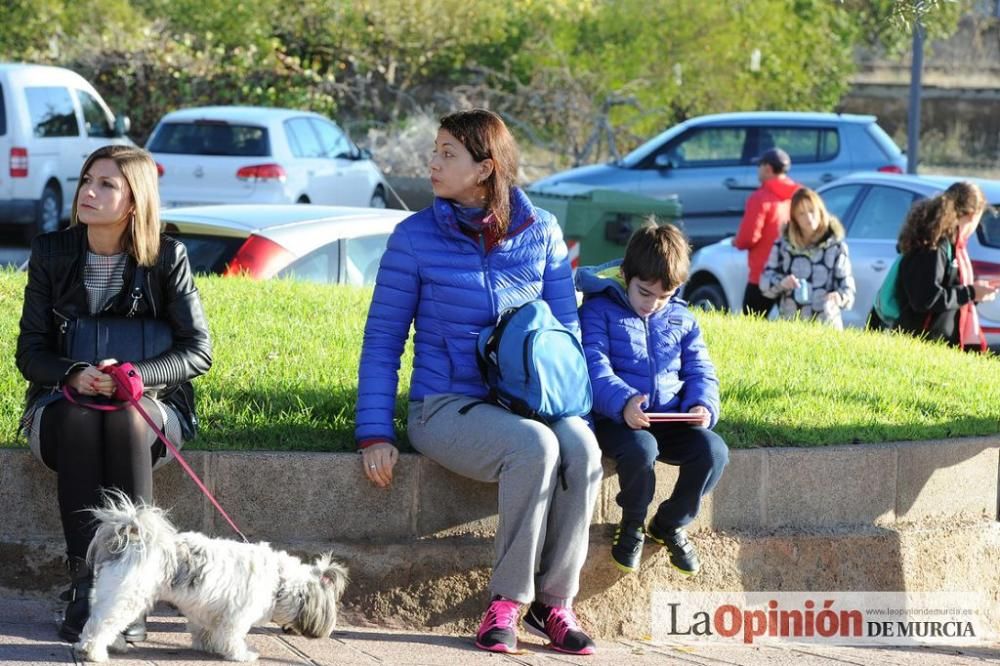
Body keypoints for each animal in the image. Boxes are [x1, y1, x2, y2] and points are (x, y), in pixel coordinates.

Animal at [75, 490, 348, 660]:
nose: (328, 632)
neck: (279, 580)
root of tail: (132, 538)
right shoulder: (237, 617)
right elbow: (233, 638)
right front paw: (243, 655)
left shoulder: (206, 611)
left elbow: (205, 631)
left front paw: (207, 646)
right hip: (128, 598)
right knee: (102, 626)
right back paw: (96, 654)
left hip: (111, 595)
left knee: (96, 621)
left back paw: (112, 645)